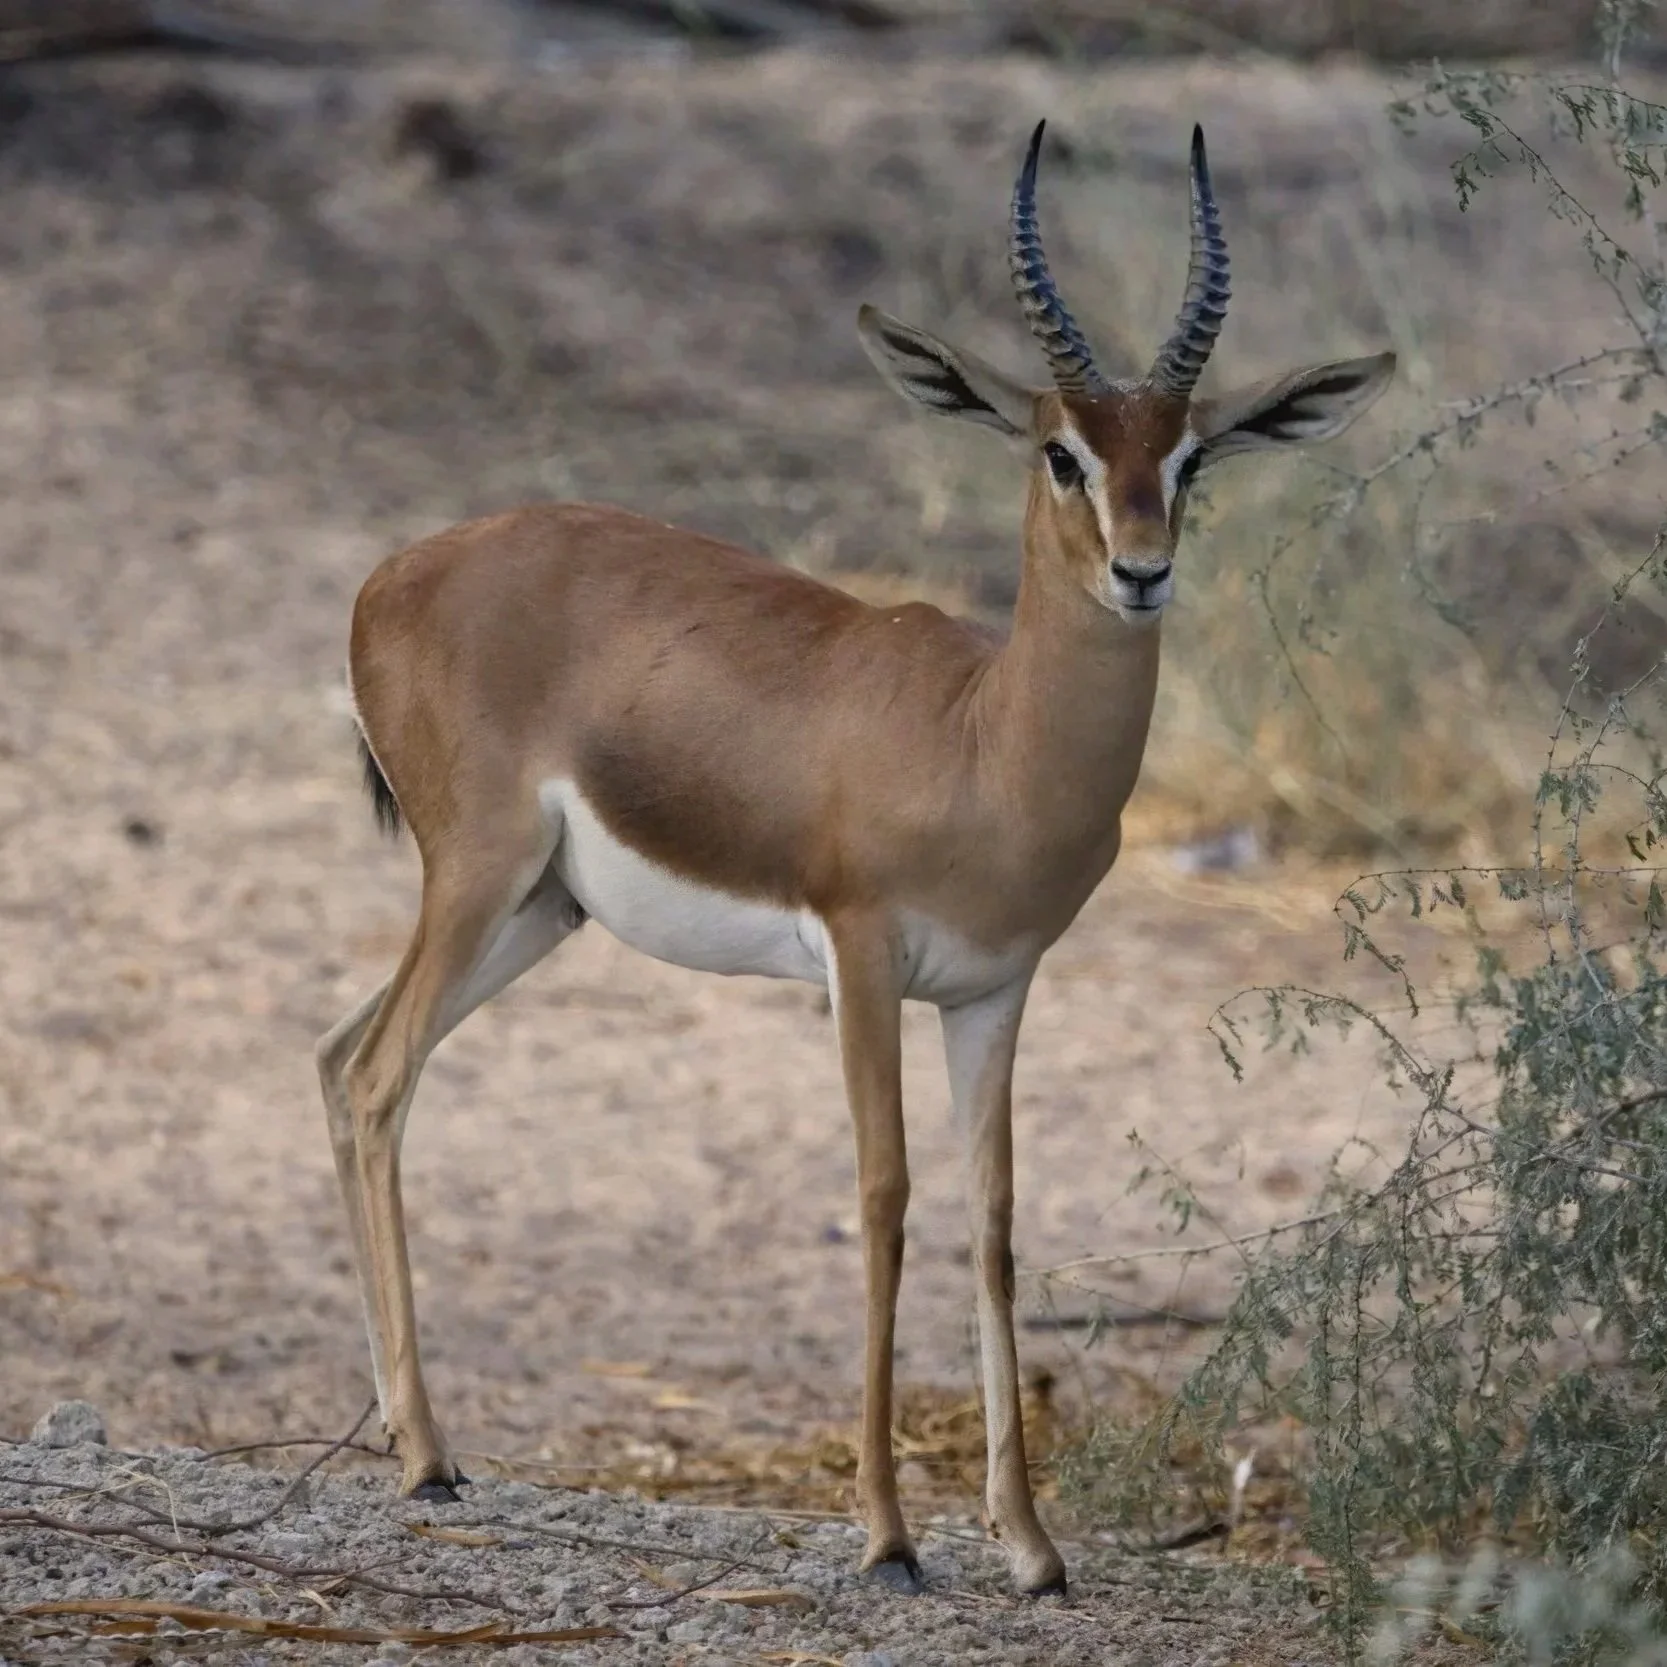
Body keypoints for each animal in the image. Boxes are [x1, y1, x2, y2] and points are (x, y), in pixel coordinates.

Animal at [315, 120, 1394, 1597]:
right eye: (1058, 451)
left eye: (1188, 460)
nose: (1140, 570)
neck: (983, 739)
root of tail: (390, 575)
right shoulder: (861, 956)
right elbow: (883, 1196)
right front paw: (888, 1535)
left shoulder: (992, 988)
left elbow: (993, 1219)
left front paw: (1030, 1545)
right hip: (478, 874)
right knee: (376, 1078)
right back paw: (426, 1456)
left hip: (539, 909)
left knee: (341, 1056)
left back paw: (399, 1434)